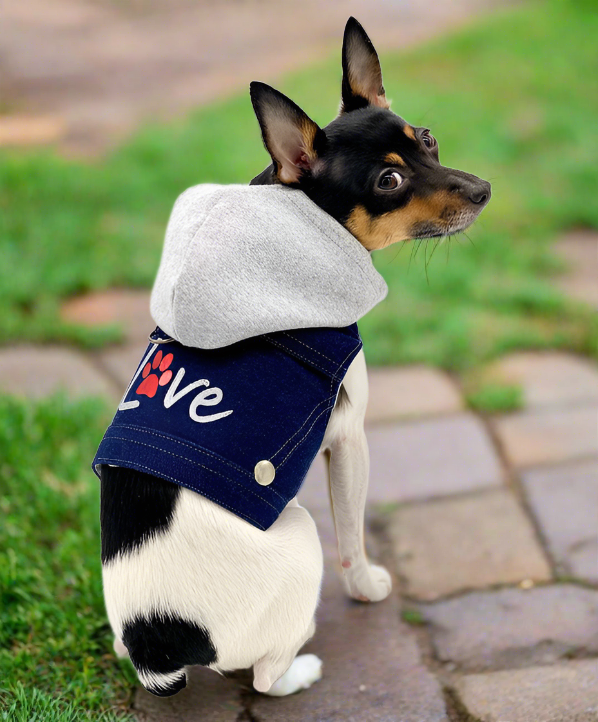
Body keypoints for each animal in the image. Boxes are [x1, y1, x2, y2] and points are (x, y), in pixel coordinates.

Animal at [99, 16, 492, 696]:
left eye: (428, 140)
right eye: (389, 181)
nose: (484, 189)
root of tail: (157, 643)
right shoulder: (350, 438)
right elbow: (354, 538)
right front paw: (368, 588)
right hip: (301, 536)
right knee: (263, 677)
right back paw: (302, 665)